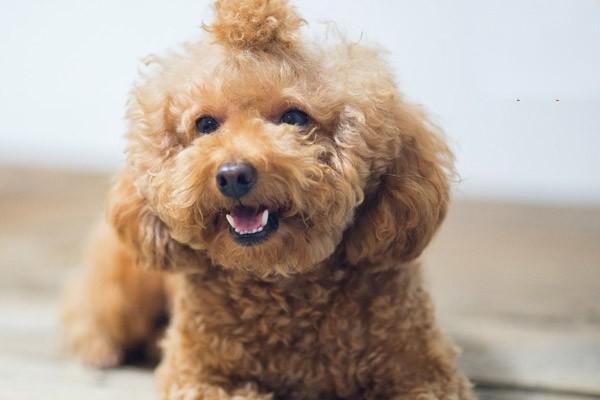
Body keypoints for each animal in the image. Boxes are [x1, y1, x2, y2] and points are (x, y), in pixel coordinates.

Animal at [63, 1, 476, 398]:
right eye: (206, 124)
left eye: (294, 117)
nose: (233, 175)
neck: (281, 283)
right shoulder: (197, 376)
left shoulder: (426, 374)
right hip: (129, 280)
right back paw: (98, 347)